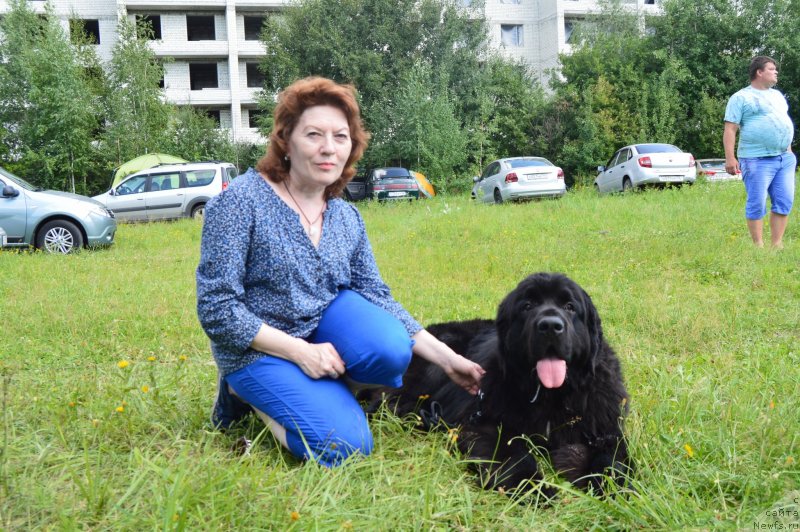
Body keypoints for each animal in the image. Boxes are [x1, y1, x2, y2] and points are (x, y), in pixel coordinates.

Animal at [366, 272, 636, 496]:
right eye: (527, 306)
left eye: (570, 307)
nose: (550, 325)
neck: (551, 396)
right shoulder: (483, 424)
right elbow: (514, 456)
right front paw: (534, 490)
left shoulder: (604, 426)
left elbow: (611, 459)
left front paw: (615, 488)